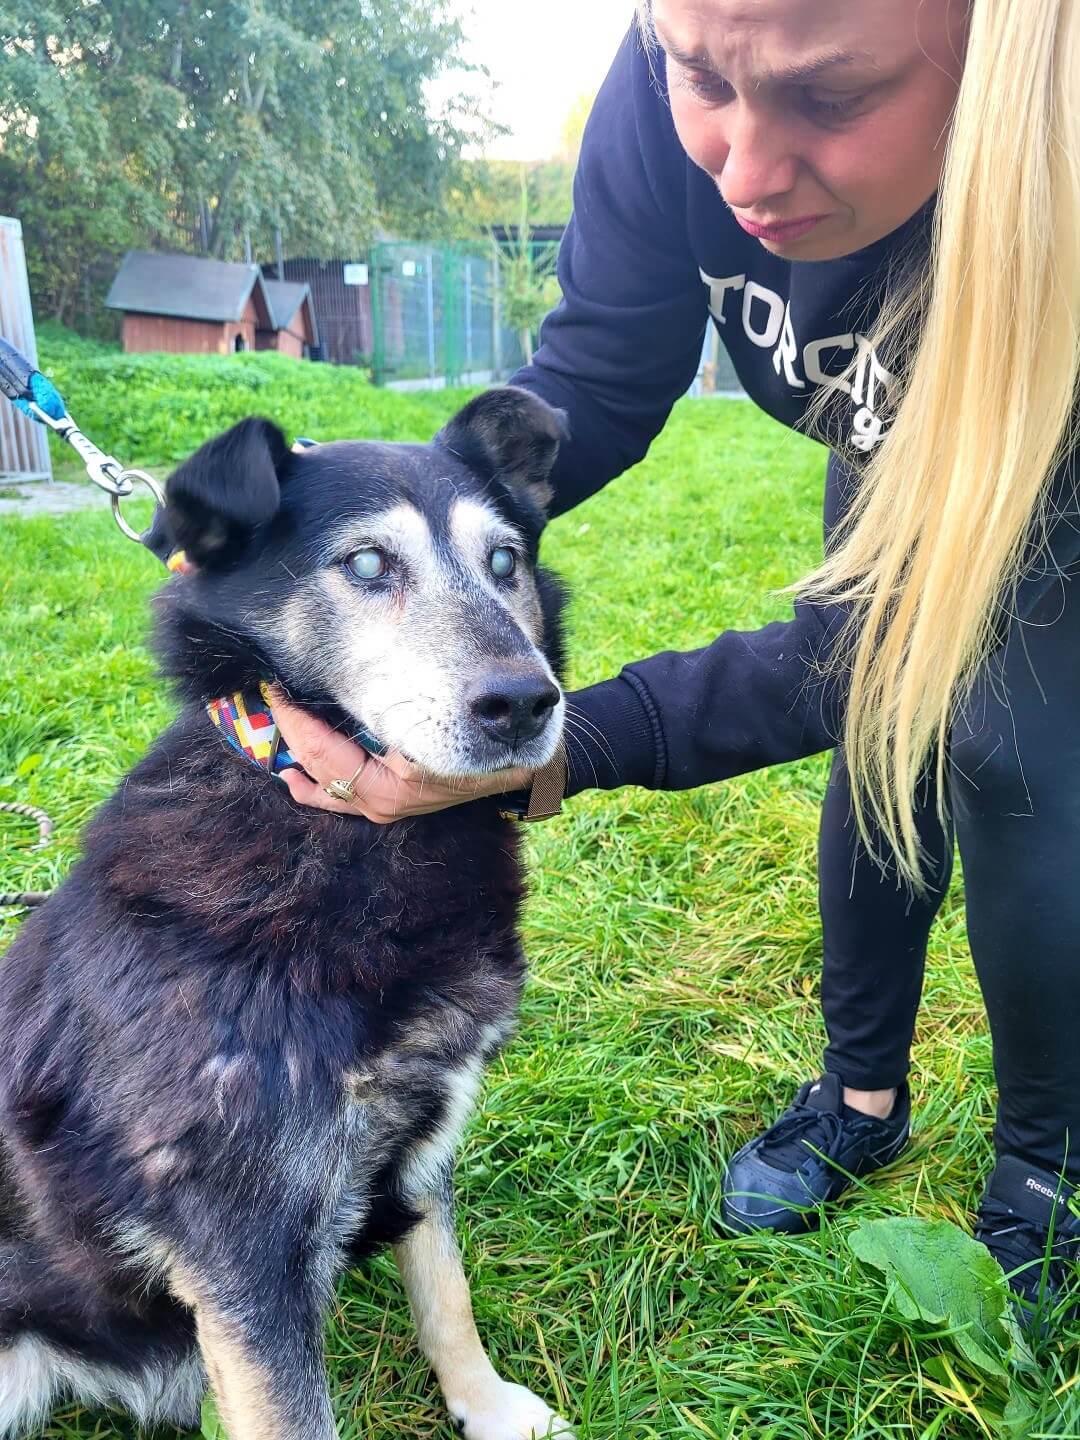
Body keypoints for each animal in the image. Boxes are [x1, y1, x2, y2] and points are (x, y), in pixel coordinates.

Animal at [0, 388, 578, 1434]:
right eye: (366, 564)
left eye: (505, 561)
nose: (524, 702)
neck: (334, 831)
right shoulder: (240, 1246)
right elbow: (294, 1407)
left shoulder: (421, 1138)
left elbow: (446, 1291)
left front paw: (487, 1406)